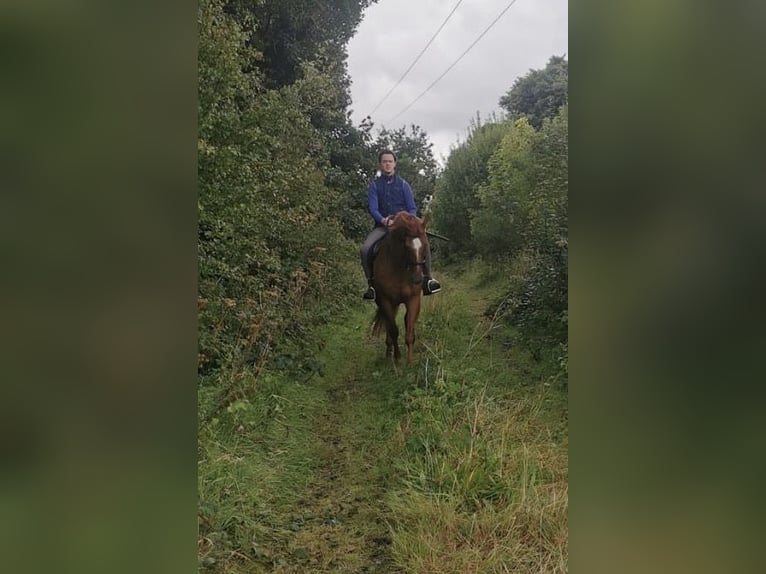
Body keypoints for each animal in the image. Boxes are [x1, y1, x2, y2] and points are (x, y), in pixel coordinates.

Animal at [370, 212, 432, 364]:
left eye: (425, 245)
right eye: (407, 247)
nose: (417, 279)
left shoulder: (413, 299)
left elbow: (409, 330)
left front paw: (410, 361)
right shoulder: (386, 301)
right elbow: (393, 330)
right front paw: (397, 358)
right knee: (389, 324)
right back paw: (388, 352)